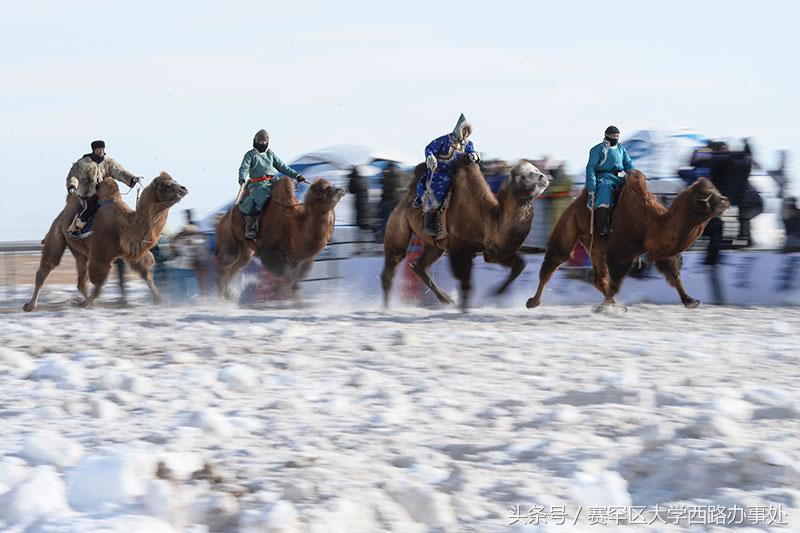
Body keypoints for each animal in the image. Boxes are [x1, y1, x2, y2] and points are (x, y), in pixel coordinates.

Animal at [23, 172, 189, 310]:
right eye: (165, 185)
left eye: (174, 180)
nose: (183, 188)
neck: (125, 226)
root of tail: (63, 212)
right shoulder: (101, 254)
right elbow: (99, 284)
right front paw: (85, 304)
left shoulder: (131, 252)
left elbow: (146, 274)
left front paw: (162, 300)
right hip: (57, 231)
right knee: (47, 266)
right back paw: (30, 305)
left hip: (78, 250)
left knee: (81, 279)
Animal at [214, 176, 346, 298]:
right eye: (322, 189)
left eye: (330, 185)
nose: (340, 189)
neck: (295, 228)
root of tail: (221, 219)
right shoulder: (269, 253)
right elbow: (287, 279)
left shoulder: (300, 261)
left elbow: (294, 281)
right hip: (229, 241)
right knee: (225, 264)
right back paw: (221, 296)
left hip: (246, 251)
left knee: (236, 266)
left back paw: (229, 294)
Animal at [382, 156, 552, 310]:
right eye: (524, 176)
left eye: (536, 170)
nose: (543, 177)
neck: (490, 219)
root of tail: (405, 195)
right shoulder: (459, 249)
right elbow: (465, 281)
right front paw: (465, 308)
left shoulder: (490, 250)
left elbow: (519, 265)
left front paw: (495, 293)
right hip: (399, 224)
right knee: (394, 261)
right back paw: (386, 307)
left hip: (436, 245)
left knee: (419, 265)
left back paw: (446, 299)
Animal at [528, 172, 728, 310]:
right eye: (708, 194)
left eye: (715, 190)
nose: (726, 200)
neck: (650, 223)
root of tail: (575, 199)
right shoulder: (621, 253)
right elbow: (616, 281)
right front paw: (606, 307)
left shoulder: (660, 251)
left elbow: (673, 274)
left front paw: (690, 301)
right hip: (569, 224)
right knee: (556, 259)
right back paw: (533, 301)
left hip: (594, 245)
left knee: (598, 278)